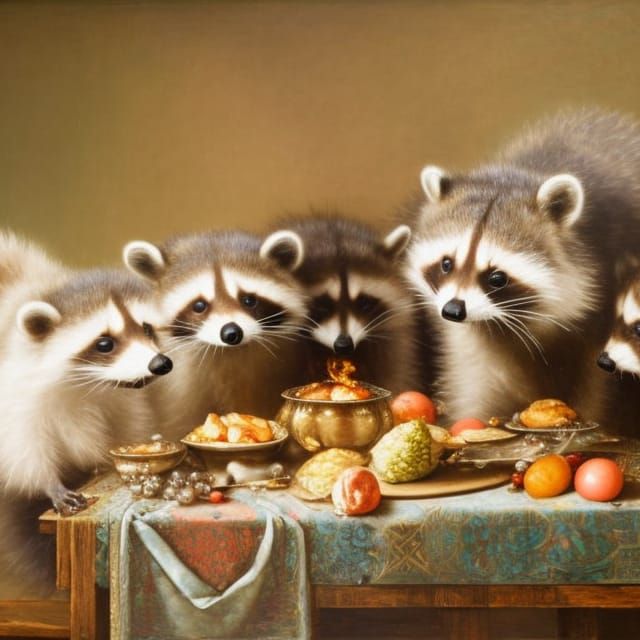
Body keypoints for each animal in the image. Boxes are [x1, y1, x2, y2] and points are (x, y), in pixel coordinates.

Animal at [0, 231, 172, 596]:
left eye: (147, 328)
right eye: (104, 343)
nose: (161, 364)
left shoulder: (120, 400)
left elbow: (126, 426)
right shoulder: (14, 395)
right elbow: (21, 451)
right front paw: (49, 483)